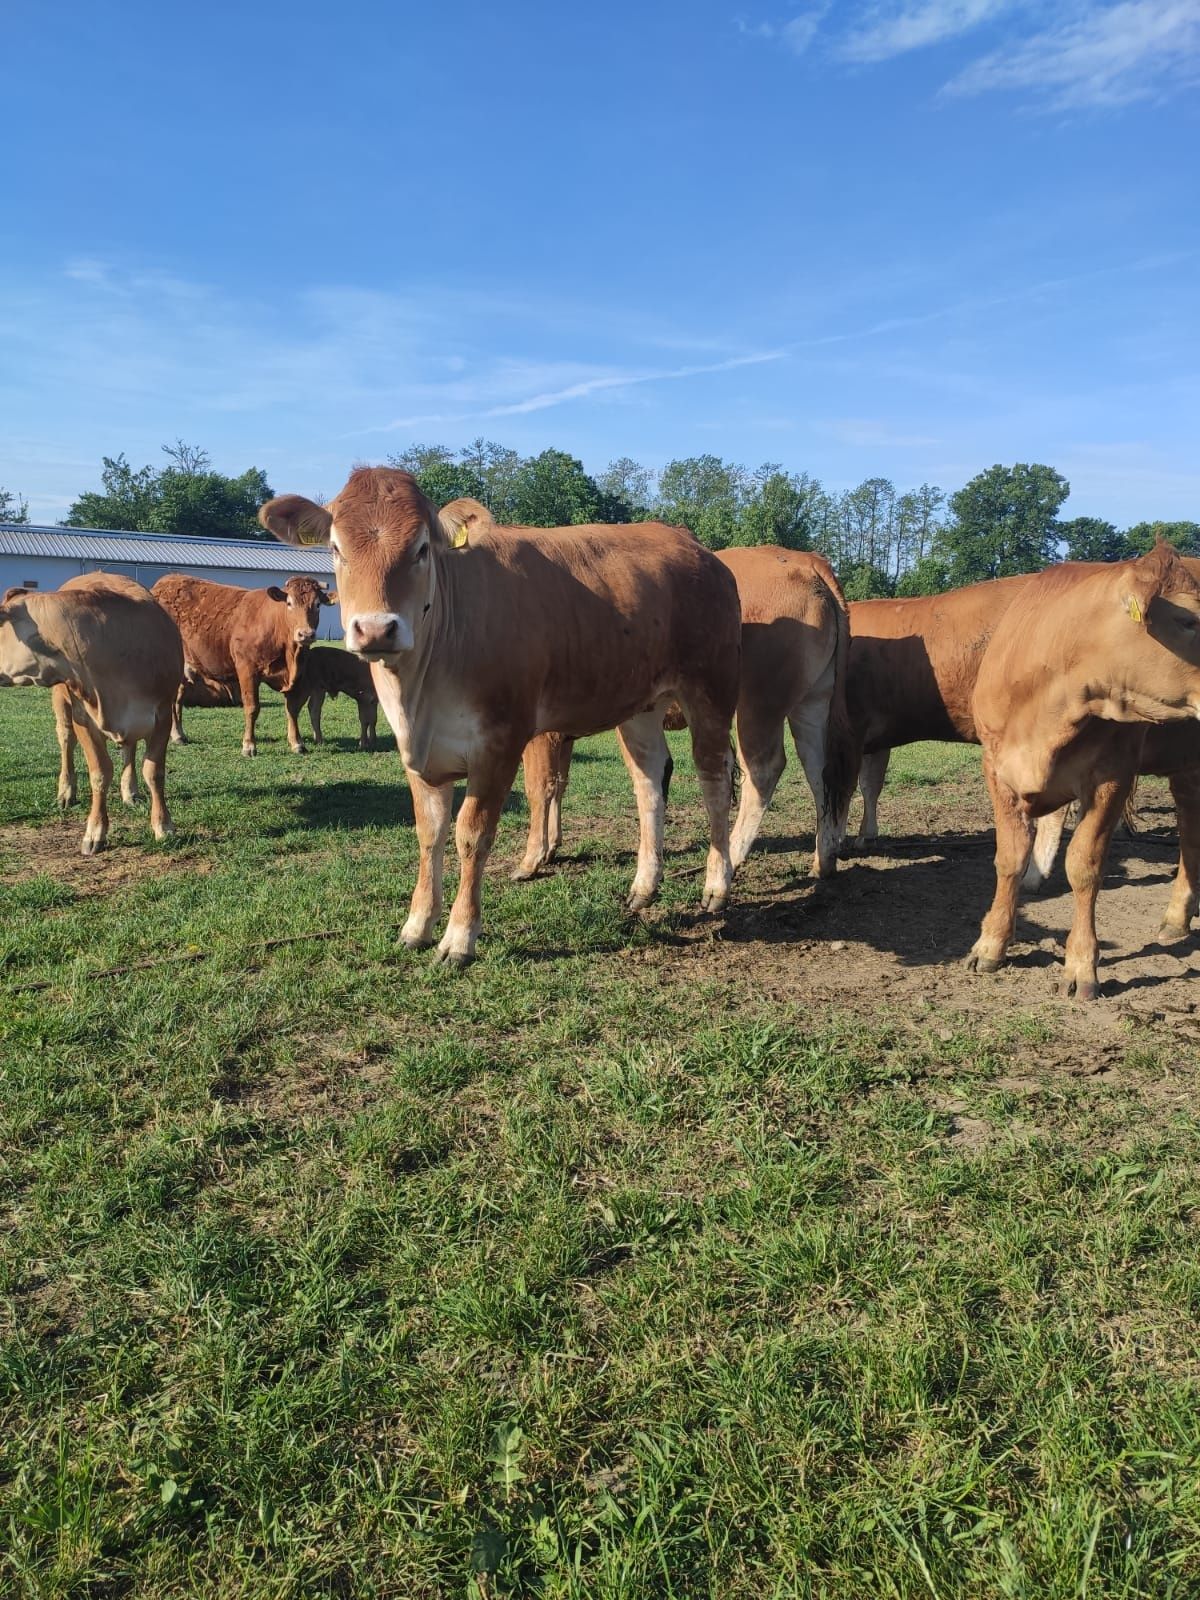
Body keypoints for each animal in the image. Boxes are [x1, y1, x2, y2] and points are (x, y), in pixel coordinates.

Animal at [0, 572, 183, 857]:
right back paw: (66, 791)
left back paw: (130, 791)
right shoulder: (82, 717)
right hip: (61, 703)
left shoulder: (163, 713)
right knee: (66, 740)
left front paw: (163, 826)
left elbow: (154, 772)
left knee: (128, 748)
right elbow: (99, 773)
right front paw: (95, 831)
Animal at [152, 576, 339, 755]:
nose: (305, 634)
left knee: (177, 699)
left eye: (317, 605)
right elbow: (252, 708)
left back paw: (179, 735)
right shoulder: (247, 670)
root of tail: (163, 583)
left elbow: (292, 709)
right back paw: (176, 734)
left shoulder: (297, 676)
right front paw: (249, 745)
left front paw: (297, 743)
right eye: (289, 603)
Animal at [260, 467, 742, 966]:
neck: (421, 690)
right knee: (649, 782)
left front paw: (459, 938)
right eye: (336, 548)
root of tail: (692, 545)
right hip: (641, 706)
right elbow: (428, 832)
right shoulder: (417, 752)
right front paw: (416, 925)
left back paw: (716, 885)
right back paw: (644, 886)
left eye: (422, 549)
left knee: (714, 777)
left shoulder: (501, 741)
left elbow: (472, 833)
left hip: (711, 687)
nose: (376, 629)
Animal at [966, 550, 1200, 998]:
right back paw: (1178, 919)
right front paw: (991, 944)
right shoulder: (996, 768)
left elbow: (1084, 866)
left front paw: (1080, 965)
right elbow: (1009, 857)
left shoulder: (1112, 775)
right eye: (1189, 620)